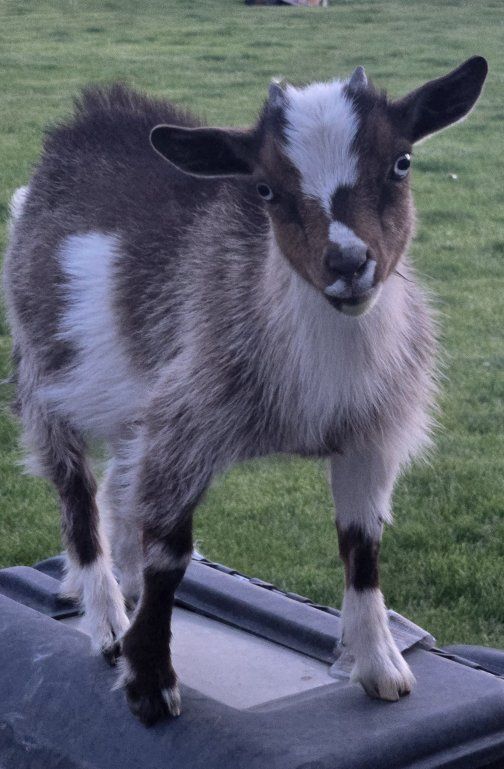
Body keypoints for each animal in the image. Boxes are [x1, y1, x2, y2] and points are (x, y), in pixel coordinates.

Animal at [3, 57, 488, 725]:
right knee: (77, 499)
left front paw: (382, 667)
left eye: (402, 162)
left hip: (135, 407)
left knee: (121, 490)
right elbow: (170, 554)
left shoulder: (370, 436)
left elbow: (362, 549)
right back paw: (107, 621)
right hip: (43, 375)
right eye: (265, 189)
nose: (348, 264)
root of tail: (79, 129)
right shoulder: (189, 424)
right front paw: (150, 683)